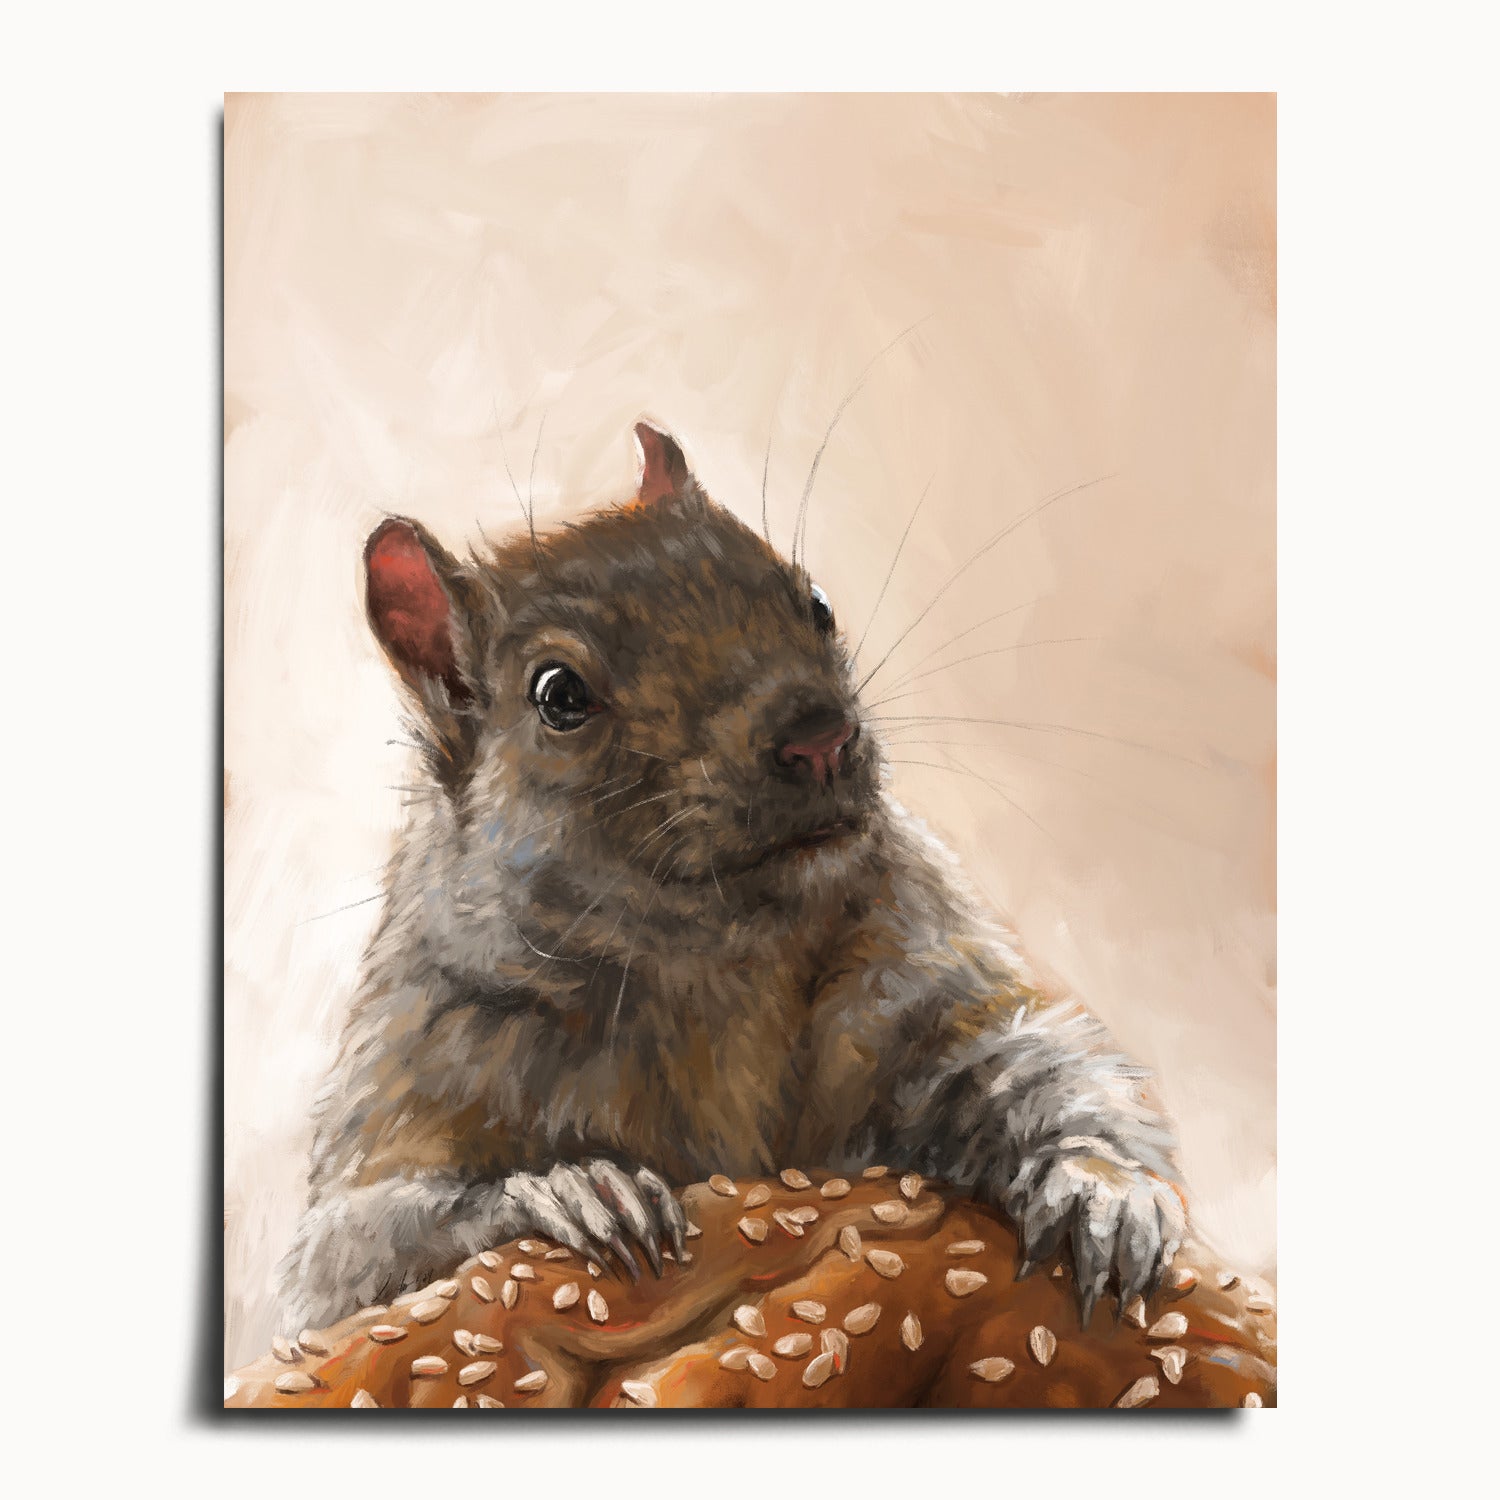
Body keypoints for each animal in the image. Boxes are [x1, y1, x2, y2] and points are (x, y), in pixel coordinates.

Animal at [277, 421, 1186, 1337]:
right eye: (558, 694)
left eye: (815, 602)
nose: (820, 736)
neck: (721, 960)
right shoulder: (418, 1064)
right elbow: (349, 1260)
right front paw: (570, 1189)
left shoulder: (918, 979)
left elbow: (1040, 1060)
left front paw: (1103, 1191)